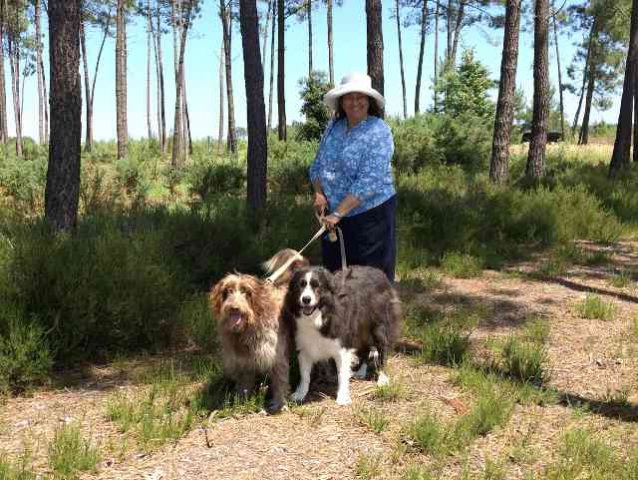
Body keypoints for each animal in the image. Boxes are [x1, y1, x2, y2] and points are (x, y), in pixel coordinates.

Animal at [284, 266, 400, 404]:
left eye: (317, 286)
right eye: (300, 285)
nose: (306, 299)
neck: (320, 315)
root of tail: (378, 271)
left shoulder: (342, 346)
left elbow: (341, 373)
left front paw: (342, 397)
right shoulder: (305, 346)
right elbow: (304, 374)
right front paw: (300, 394)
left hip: (378, 328)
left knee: (382, 351)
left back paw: (382, 378)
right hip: (360, 330)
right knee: (365, 349)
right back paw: (361, 371)